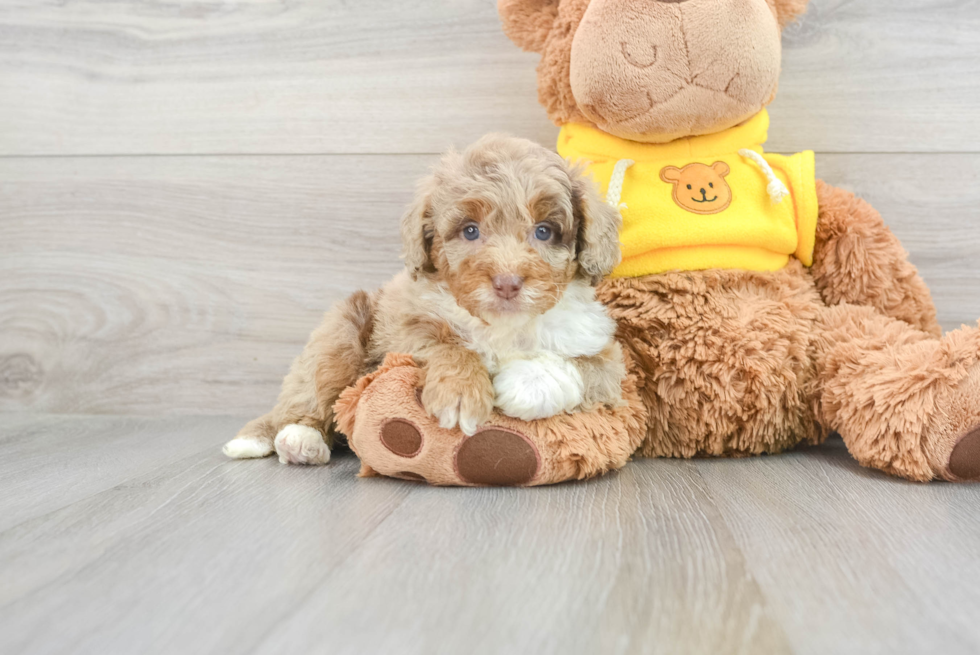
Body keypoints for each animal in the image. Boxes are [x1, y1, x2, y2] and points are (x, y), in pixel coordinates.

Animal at [223, 135, 624, 466]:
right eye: (470, 231)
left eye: (544, 231)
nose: (507, 283)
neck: (502, 325)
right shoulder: (404, 330)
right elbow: (445, 344)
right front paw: (460, 392)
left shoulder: (606, 360)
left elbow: (581, 365)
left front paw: (524, 385)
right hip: (340, 333)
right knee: (309, 390)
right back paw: (298, 438)